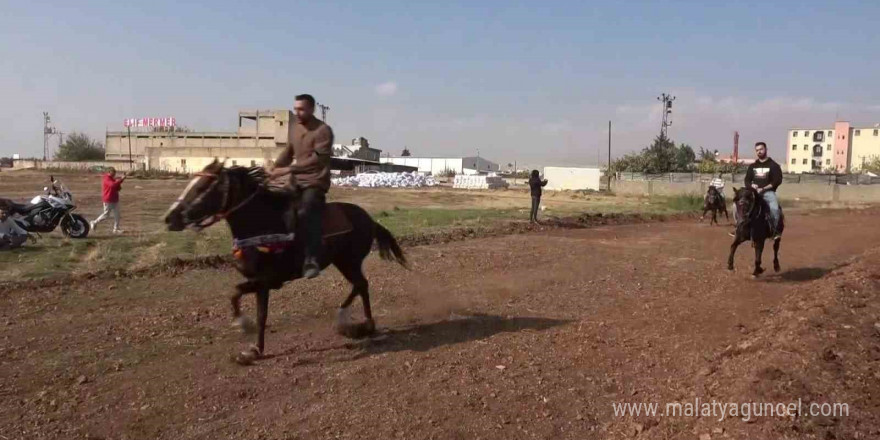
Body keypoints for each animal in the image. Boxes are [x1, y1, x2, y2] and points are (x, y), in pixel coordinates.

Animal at [163, 160, 408, 362]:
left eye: (202, 187)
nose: (169, 218)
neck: (263, 226)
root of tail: (370, 220)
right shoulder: (260, 281)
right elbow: (235, 293)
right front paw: (244, 328)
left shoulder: (264, 282)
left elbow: (259, 314)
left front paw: (253, 346)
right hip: (344, 262)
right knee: (360, 286)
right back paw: (359, 323)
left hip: (349, 262)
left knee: (361, 285)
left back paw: (351, 321)